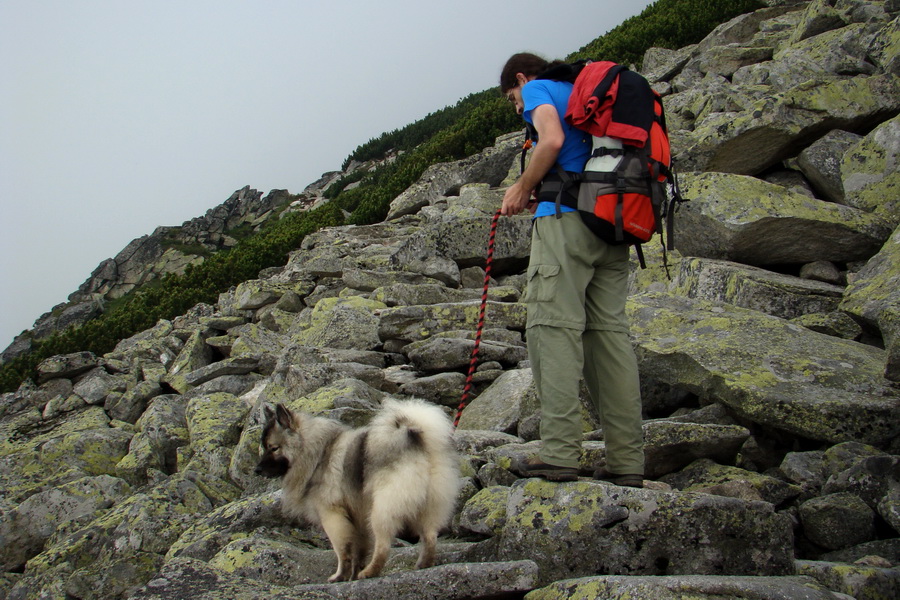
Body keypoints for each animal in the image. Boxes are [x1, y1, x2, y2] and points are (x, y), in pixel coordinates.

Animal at [255, 398, 460, 580]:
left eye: (274, 448)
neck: (317, 453)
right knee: (430, 537)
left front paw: (340, 576)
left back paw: (370, 572)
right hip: (428, 506)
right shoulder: (358, 519)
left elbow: (342, 551)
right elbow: (358, 552)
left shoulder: (332, 516)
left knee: (383, 546)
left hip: (381, 510)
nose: (257, 470)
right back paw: (423, 564)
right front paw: (352, 575)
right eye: (263, 448)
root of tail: (416, 439)